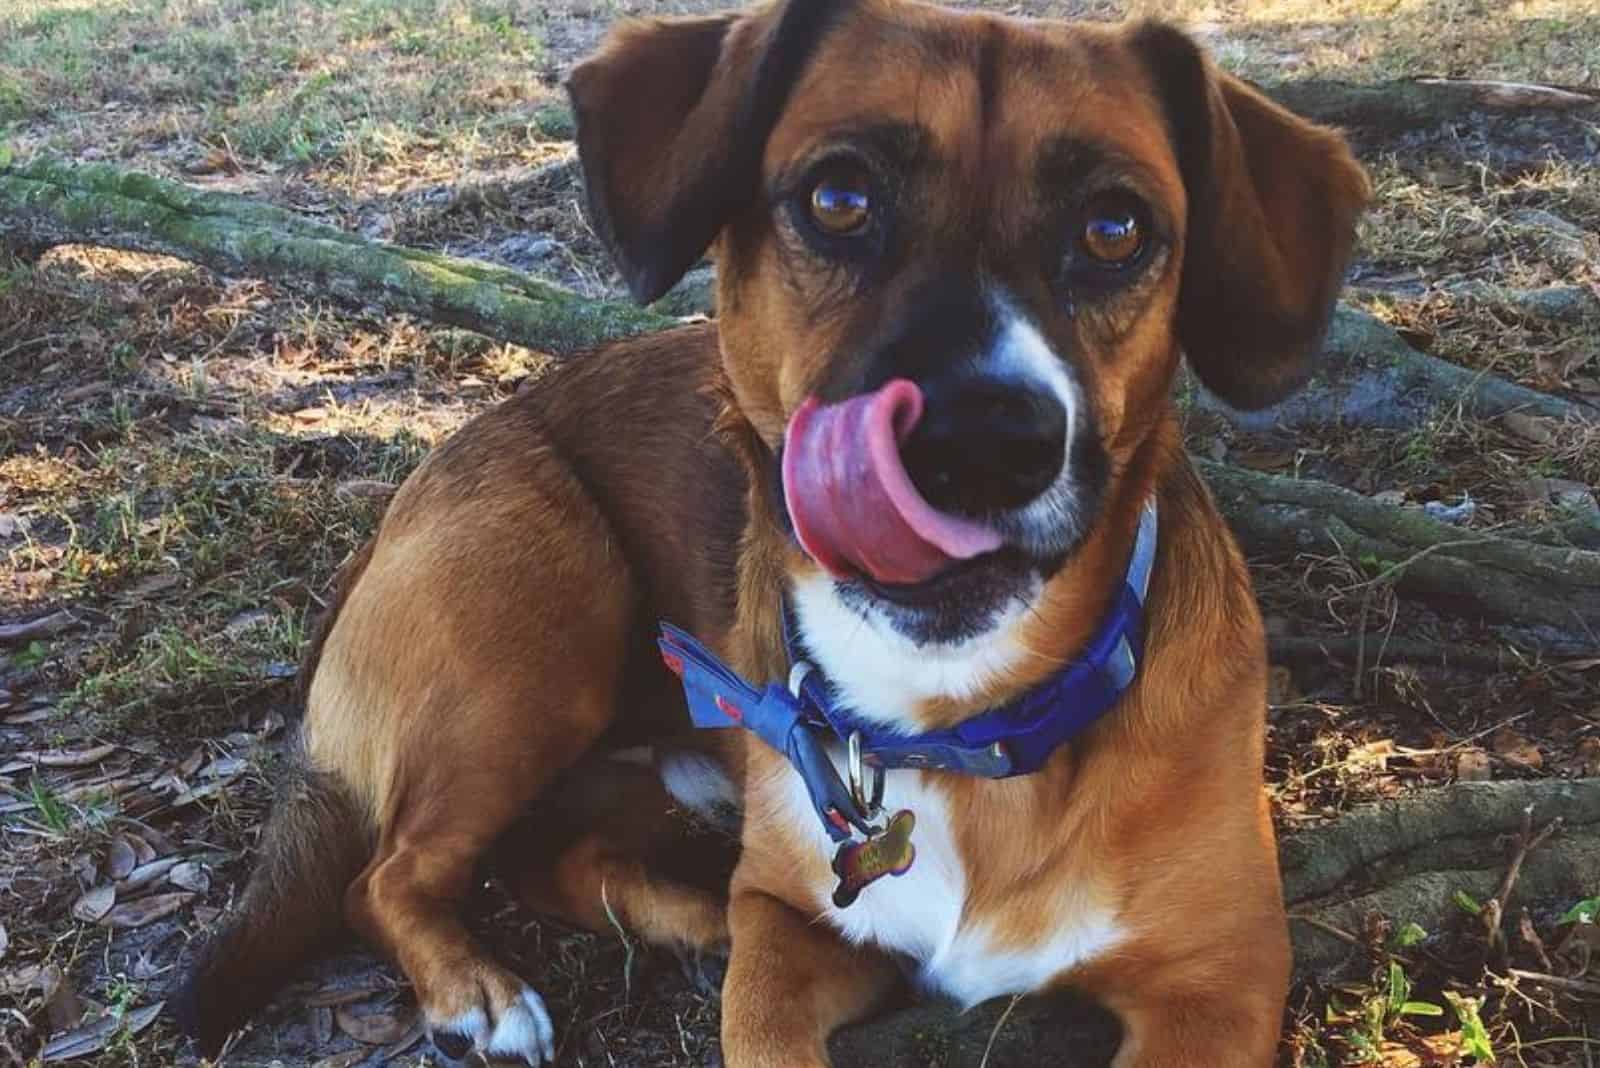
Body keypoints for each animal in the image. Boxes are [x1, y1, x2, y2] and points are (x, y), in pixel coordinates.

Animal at [178, 4, 1376, 1061]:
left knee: (537, 860)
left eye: (1115, 228)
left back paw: (679, 920)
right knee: (383, 877)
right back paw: (483, 992)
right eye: (837, 198)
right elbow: (758, 1009)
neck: (955, 724)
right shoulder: (788, 940)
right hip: (532, 639)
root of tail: (397, 509)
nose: (985, 441)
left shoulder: (1220, 983)